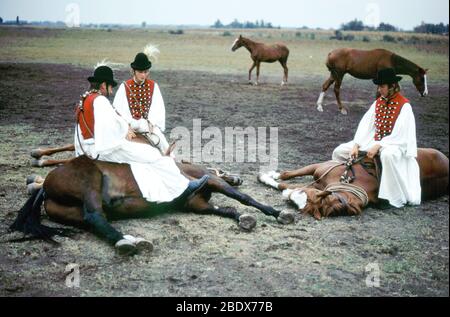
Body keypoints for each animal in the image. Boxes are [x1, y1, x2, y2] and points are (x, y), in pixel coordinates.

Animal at [11, 156, 296, 254]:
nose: (236, 177)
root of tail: (46, 185)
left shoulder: (196, 204)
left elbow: (227, 210)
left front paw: (242, 218)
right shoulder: (212, 183)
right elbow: (243, 199)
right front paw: (278, 213)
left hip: (75, 213)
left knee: (97, 222)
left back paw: (130, 239)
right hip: (89, 180)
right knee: (95, 216)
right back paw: (126, 243)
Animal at [258, 149, 448, 220]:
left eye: (300, 201)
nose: (287, 198)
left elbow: (284, 184)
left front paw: (266, 177)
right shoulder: (319, 168)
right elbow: (289, 174)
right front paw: (269, 175)